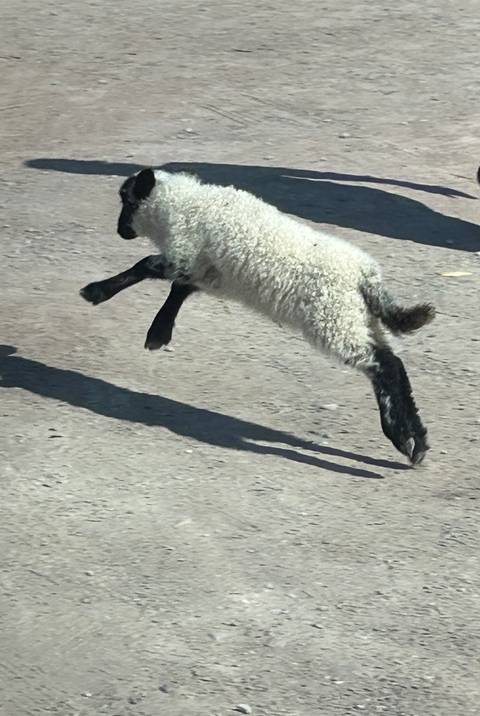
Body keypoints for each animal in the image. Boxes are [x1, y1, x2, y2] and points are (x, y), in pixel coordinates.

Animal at [81, 167, 435, 465]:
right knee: (393, 364)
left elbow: (146, 266)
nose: (120, 230)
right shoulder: (204, 270)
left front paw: (96, 291)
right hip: (356, 319)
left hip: (333, 319)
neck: (182, 204)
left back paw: (402, 436)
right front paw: (158, 332)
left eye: (127, 201)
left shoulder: (186, 254)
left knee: (383, 365)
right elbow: (178, 290)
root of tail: (366, 276)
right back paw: (416, 441)